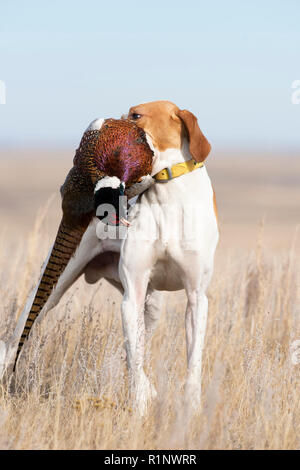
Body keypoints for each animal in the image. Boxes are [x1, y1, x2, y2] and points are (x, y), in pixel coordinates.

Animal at [0, 100, 218, 414]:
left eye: (136, 115)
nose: (105, 120)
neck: (168, 197)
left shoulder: (196, 297)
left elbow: (192, 361)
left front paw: (191, 407)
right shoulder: (132, 296)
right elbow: (134, 357)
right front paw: (140, 407)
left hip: (153, 306)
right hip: (50, 289)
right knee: (14, 341)